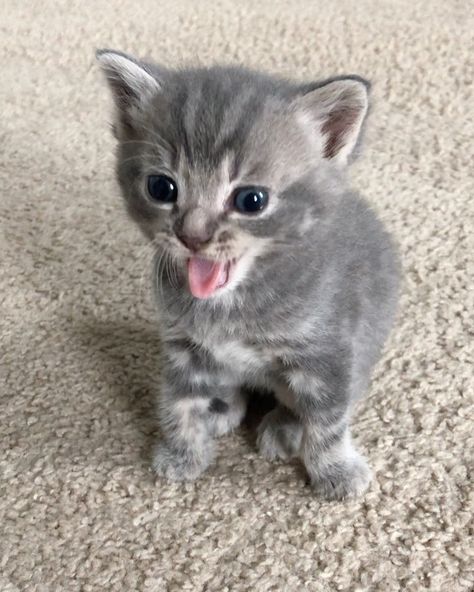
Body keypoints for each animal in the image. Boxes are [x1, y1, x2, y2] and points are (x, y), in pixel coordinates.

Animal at [97, 49, 400, 500]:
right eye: (161, 188)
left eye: (251, 200)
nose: (193, 235)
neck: (230, 307)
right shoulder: (183, 344)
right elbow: (179, 401)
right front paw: (182, 452)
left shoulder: (327, 351)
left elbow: (327, 418)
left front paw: (335, 470)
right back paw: (223, 406)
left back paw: (285, 428)